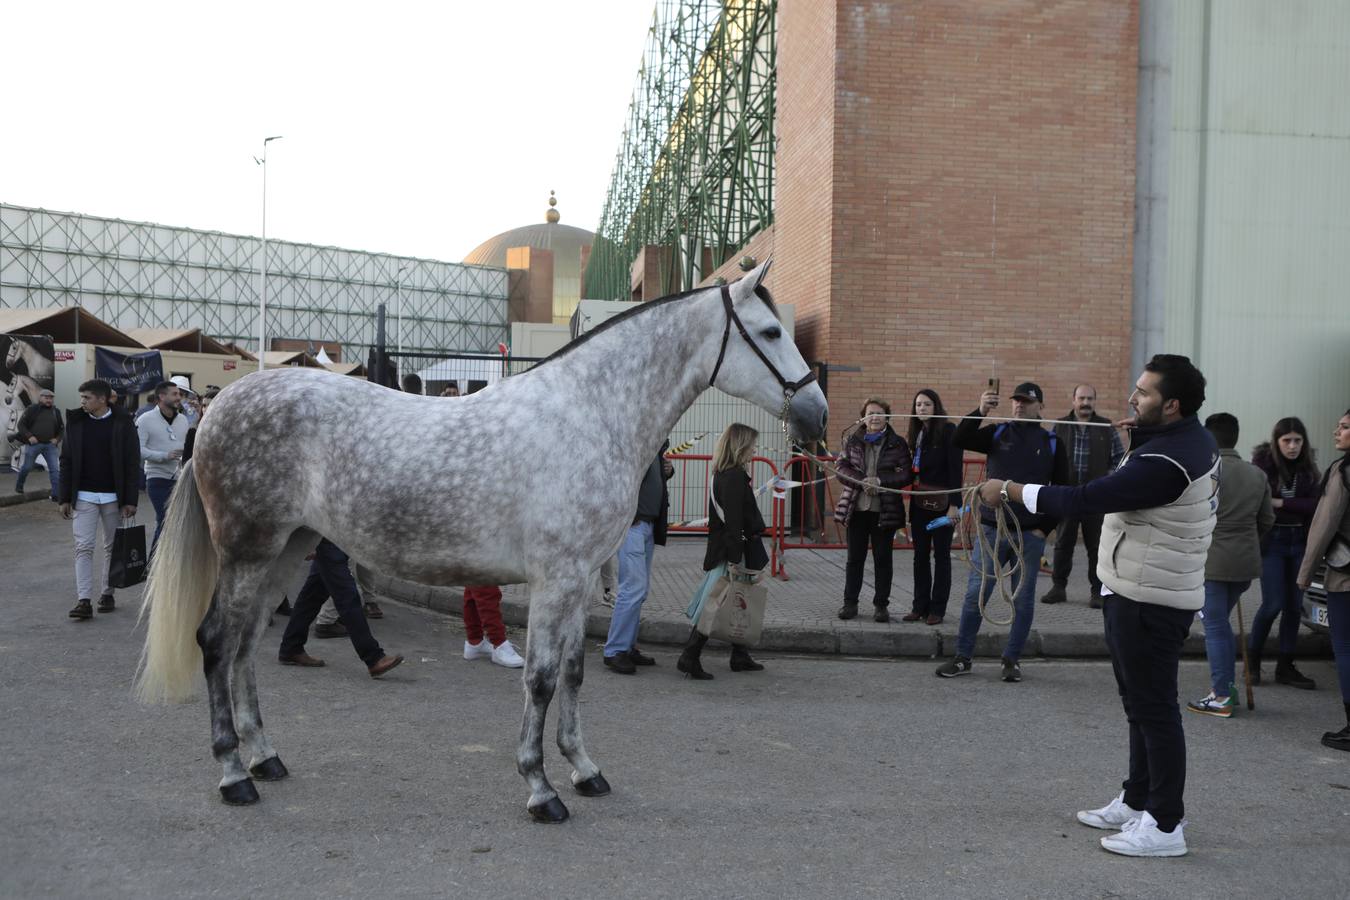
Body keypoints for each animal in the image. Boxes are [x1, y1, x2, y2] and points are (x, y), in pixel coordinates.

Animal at [135, 260, 828, 822]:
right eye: (771, 333)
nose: (817, 413)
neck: (590, 412)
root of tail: (220, 409)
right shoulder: (556, 579)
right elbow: (542, 680)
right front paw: (541, 790)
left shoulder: (581, 579)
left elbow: (574, 672)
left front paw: (584, 770)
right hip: (248, 551)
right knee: (217, 643)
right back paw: (233, 775)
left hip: (287, 549)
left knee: (246, 647)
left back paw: (265, 758)